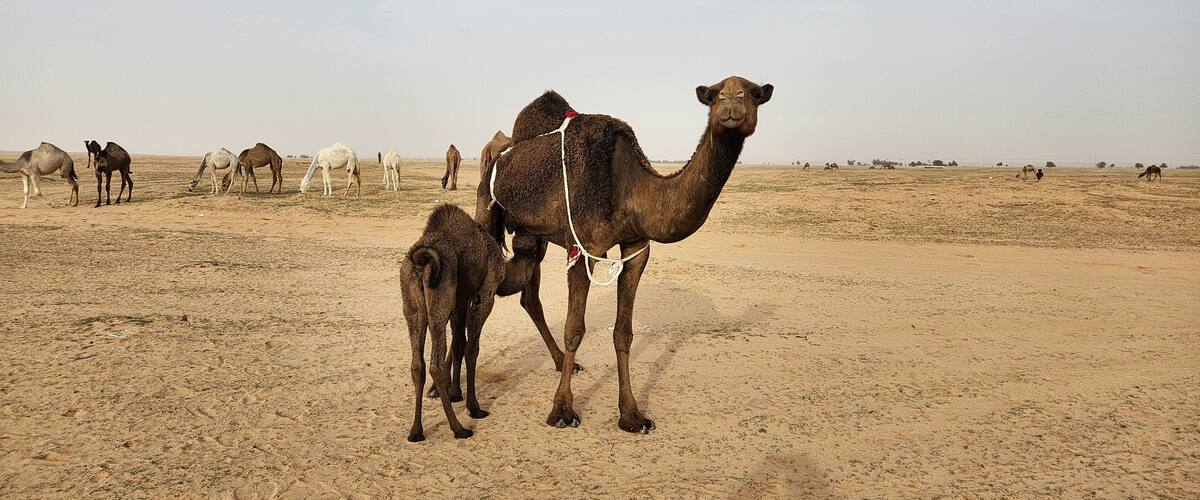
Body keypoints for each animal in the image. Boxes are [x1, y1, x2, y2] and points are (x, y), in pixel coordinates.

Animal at [401, 204, 543, 442]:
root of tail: (423, 261)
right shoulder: (485, 294)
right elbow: (472, 348)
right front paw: (474, 407)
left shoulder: (460, 299)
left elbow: (459, 344)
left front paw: (456, 393)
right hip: (440, 298)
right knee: (436, 365)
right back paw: (459, 428)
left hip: (411, 306)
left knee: (417, 365)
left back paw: (415, 432)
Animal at [476, 75, 772, 433]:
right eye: (714, 95)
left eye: (755, 93)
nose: (732, 101)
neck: (628, 189)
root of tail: (502, 152)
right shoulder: (583, 248)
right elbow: (574, 329)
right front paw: (562, 410)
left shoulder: (636, 247)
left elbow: (623, 332)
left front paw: (631, 415)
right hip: (485, 202)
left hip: (534, 234)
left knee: (528, 296)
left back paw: (561, 361)